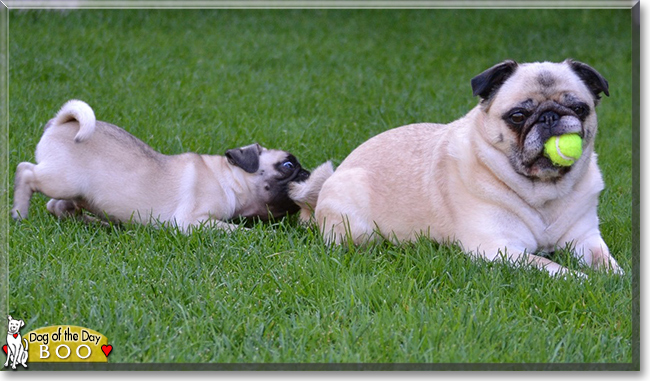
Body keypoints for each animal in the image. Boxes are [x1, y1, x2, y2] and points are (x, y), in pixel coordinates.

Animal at [10, 99, 308, 230]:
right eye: (287, 166)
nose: (306, 172)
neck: (230, 180)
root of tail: (60, 122)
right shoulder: (192, 221)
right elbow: (231, 229)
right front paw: (251, 234)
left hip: (74, 192)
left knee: (58, 207)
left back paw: (100, 222)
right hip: (63, 180)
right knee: (26, 172)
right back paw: (19, 213)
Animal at [296, 59, 620, 276]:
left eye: (579, 109)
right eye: (517, 116)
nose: (550, 116)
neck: (544, 192)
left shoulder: (585, 239)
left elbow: (607, 264)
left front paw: (612, 281)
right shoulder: (499, 248)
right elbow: (552, 266)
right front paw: (581, 279)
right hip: (358, 229)